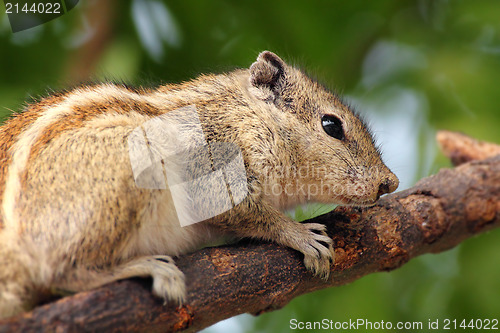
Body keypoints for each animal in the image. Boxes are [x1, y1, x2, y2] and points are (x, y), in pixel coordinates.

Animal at [0, 51, 398, 316]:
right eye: (332, 125)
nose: (389, 183)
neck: (242, 114)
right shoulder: (214, 167)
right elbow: (251, 214)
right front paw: (300, 234)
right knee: (63, 271)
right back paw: (150, 267)